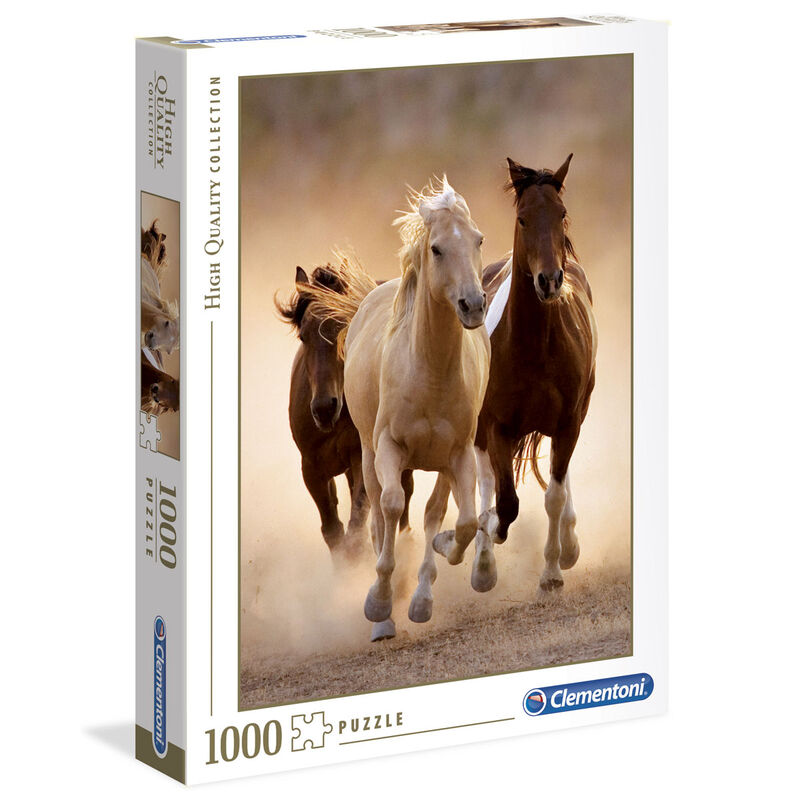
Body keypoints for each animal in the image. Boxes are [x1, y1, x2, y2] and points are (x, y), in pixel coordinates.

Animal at [276, 260, 413, 560]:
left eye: (345, 329)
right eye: (303, 335)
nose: (324, 408)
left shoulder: (361, 457)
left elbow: (356, 526)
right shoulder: (312, 468)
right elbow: (333, 531)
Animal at [310, 178, 491, 641]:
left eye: (478, 240)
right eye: (437, 249)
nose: (473, 305)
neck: (429, 371)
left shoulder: (458, 454)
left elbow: (460, 521)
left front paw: (432, 578)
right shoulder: (388, 449)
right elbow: (390, 509)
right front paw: (378, 603)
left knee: (433, 513)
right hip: (368, 454)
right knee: (378, 513)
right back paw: (384, 615)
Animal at [475, 155, 597, 592]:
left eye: (560, 213)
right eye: (523, 218)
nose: (549, 281)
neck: (535, 347)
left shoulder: (568, 423)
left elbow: (554, 496)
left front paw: (552, 571)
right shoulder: (496, 425)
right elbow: (506, 501)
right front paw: (489, 536)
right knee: (485, 481)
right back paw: (482, 561)